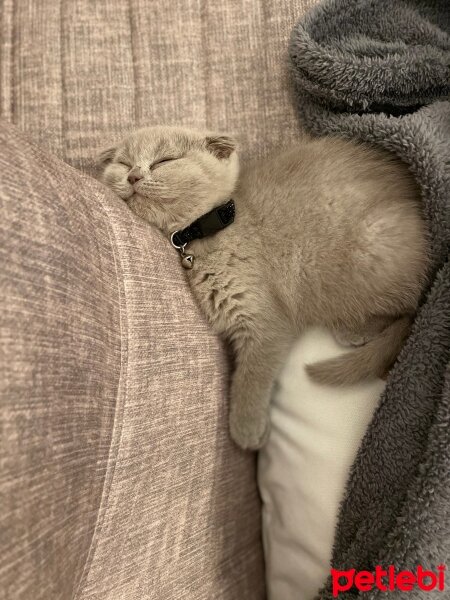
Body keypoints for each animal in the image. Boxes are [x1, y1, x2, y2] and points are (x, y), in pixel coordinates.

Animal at [98, 125, 428, 450]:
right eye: (124, 164)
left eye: (164, 161)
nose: (133, 176)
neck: (209, 228)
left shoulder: (264, 320)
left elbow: (251, 375)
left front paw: (246, 430)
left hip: (362, 255)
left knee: (410, 303)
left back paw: (354, 329)